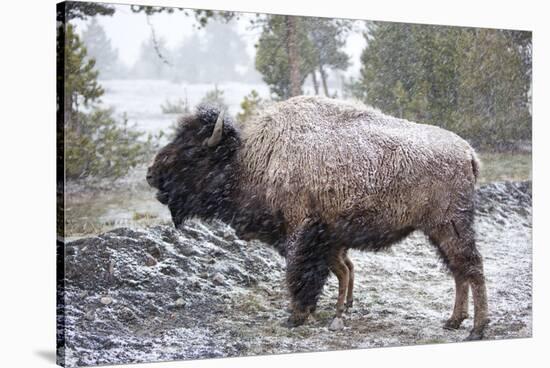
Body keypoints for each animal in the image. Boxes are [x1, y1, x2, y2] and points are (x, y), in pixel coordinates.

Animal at [147, 95, 492, 342]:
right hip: (438, 231)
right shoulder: (324, 239)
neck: (252, 161)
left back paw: (476, 329)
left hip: (450, 226)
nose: (151, 175)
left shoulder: (301, 232)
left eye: (192, 152)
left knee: (472, 268)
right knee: (459, 271)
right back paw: (453, 322)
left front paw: (296, 317)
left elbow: (299, 274)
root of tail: (468, 153)